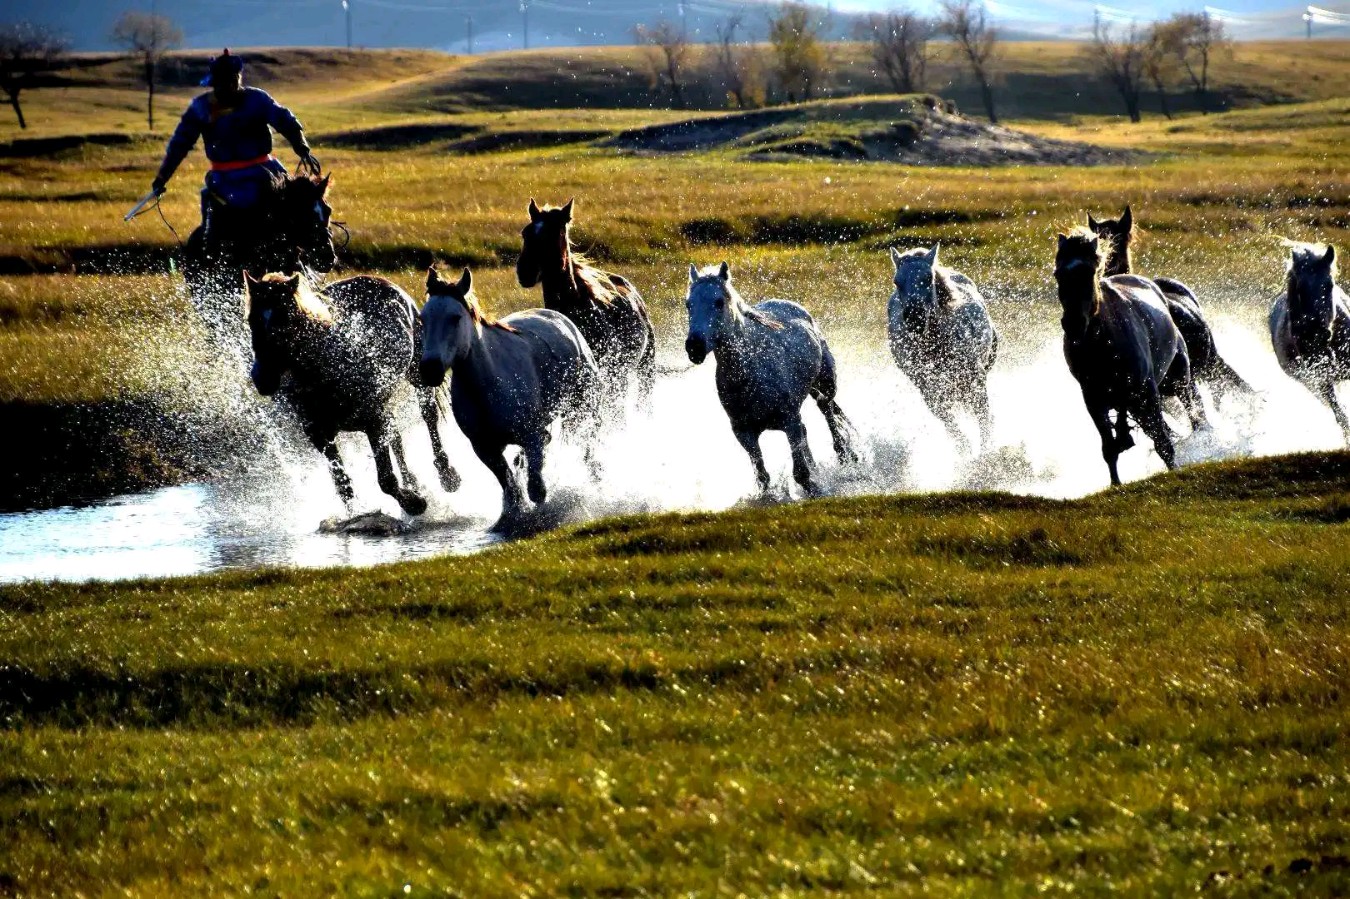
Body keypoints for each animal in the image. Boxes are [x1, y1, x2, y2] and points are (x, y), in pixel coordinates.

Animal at [244, 271, 459, 516]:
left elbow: (386, 480)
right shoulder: (320, 435)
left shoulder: (372, 422)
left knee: (429, 416)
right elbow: (343, 485)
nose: (262, 378)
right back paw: (413, 482)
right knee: (395, 433)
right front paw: (356, 516)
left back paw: (447, 475)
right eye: (251, 320)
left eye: (285, 319)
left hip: (417, 375)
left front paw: (413, 504)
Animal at [418, 266, 602, 521]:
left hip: (585, 407)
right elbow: (510, 488)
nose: (430, 369)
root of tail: (562, 320)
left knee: (589, 445)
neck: (487, 387)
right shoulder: (485, 449)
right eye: (422, 319)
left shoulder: (531, 437)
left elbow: (536, 488)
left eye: (455, 318)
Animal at [684, 262, 857, 496]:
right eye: (688, 304)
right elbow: (763, 477)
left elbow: (800, 473)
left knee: (828, 411)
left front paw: (815, 489)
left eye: (719, 302)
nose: (694, 347)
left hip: (825, 383)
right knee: (809, 427)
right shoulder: (744, 433)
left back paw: (845, 454)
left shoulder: (789, 421)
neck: (750, 372)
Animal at [887, 244, 999, 452]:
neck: (935, 348)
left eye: (928, 278)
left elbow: (984, 419)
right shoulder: (929, 391)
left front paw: (987, 454)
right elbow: (952, 427)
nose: (914, 318)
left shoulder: (976, 379)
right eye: (897, 282)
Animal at [1054, 228, 1208, 486]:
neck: (1103, 343)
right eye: (1058, 274)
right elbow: (1109, 448)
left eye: (1089, 271)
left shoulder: (1146, 392)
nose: (1073, 324)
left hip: (1179, 381)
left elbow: (1163, 443)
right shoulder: (1094, 401)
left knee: (1196, 416)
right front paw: (1115, 484)